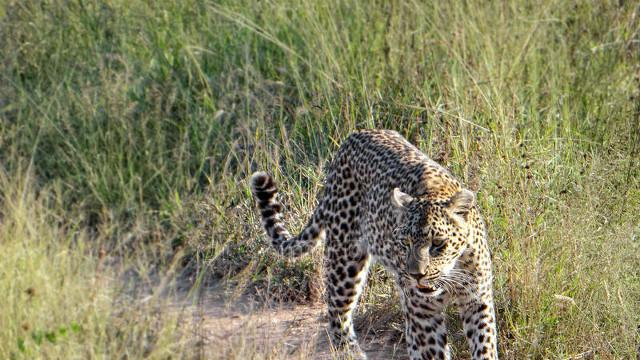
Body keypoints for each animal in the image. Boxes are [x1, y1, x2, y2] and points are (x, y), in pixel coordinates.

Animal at [250, 130, 500, 360]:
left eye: (438, 244)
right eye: (405, 243)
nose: (416, 275)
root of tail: (353, 137)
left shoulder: (477, 301)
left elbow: (484, 346)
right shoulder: (422, 313)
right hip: (345, 260)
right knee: (336, 315)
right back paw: (351, 353)